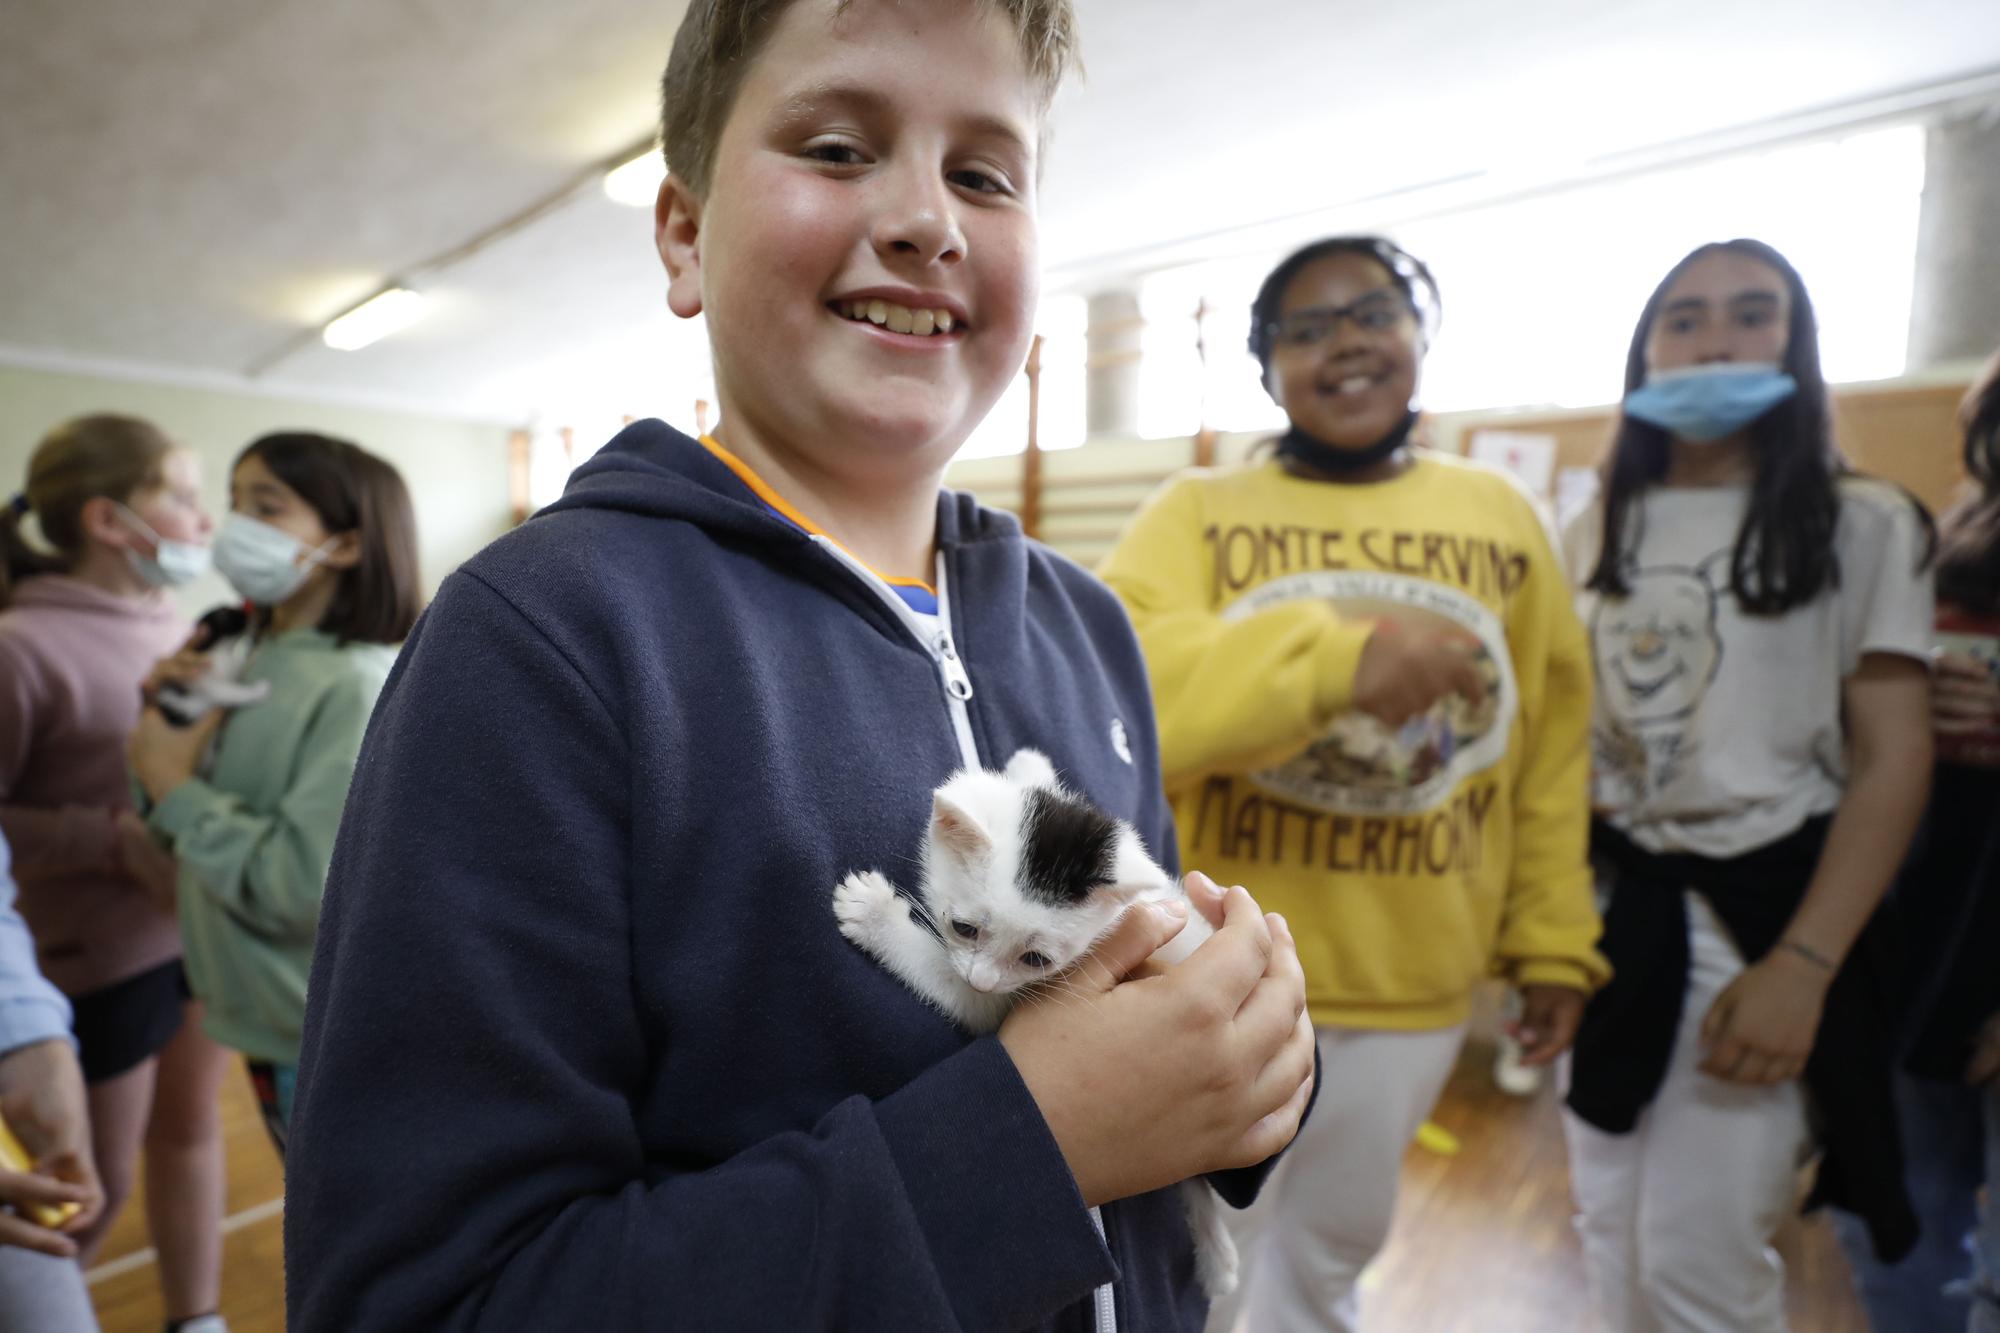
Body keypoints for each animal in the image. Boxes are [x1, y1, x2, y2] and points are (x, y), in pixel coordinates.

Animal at [828, 748, 1232, 1296]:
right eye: (964, 927)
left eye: (1036, 959)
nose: (982, 978)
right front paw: (1028, 765)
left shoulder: (998, 999)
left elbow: (949, 981)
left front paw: (873, 915)